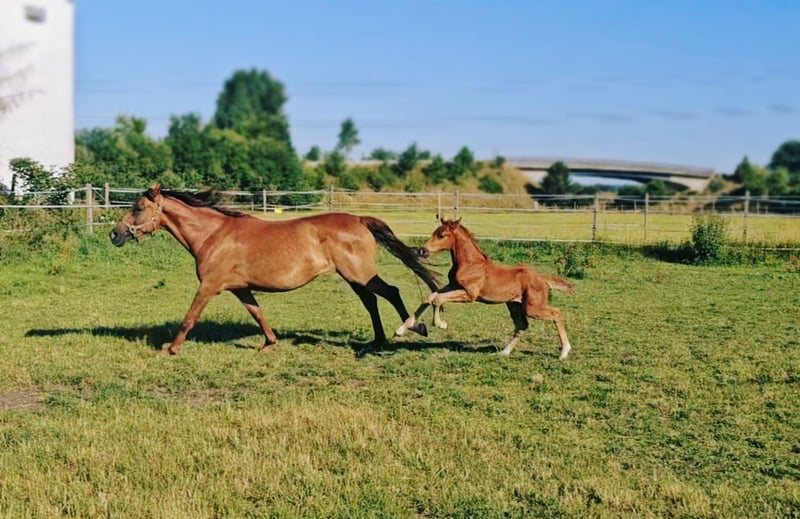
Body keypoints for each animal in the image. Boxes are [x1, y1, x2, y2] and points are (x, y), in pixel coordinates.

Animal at [109, 184, 438, 355]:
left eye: (138, 208)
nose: (115, 234)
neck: (213, 235)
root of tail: (359, 219)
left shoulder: (210, 286)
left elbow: (189, 317)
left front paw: (171, 349)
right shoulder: (240, 288)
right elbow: (257, 313)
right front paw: (269, 343)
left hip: (360, 274)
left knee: (390, 292)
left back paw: (412, 327)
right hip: (353, 277)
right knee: (371, 301)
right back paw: (378, 338)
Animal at [395, 218, 574, 359]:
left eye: (442, 235)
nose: (422, 251)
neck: (470, 264)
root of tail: (541, 277)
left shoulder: (470, 295)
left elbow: (437, 299)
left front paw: (441, 324)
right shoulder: (453, 286)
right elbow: (430, 297)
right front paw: (402, 329)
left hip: (532, 307)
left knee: (556, 313)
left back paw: (564, 352)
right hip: (514, 305)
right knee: (522, 326)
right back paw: (504, 352)